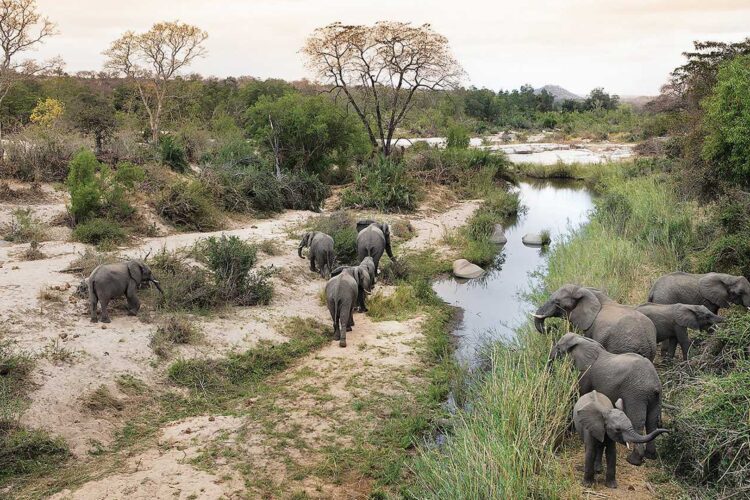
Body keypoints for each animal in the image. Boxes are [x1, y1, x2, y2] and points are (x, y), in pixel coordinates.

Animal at [548, 332, 668, 464]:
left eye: (558, 348)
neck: (581, 340)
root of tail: (654, 383)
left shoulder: (583, 373)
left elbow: (577, 397)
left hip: (637, 394)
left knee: (638, 422)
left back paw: (633, 460)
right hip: (656, 396)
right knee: (651, 422)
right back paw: (650, 455)